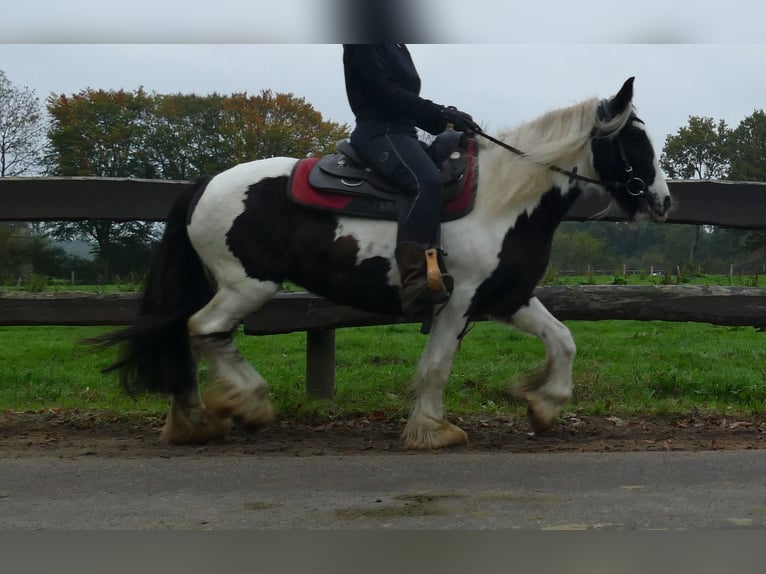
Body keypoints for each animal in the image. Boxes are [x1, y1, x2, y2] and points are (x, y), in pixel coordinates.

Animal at [97, 77, 672, 449]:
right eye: (634, 138)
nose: (664, 202)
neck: (503, 200)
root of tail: (206, 183)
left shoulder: (508, 297)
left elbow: (564, 339)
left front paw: (545, 404)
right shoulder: (459, 301)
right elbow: (438, 364)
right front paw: (433, 430)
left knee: (185, 334)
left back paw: (193, 421)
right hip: (247, 285)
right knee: (203, 329)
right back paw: (247, 403)